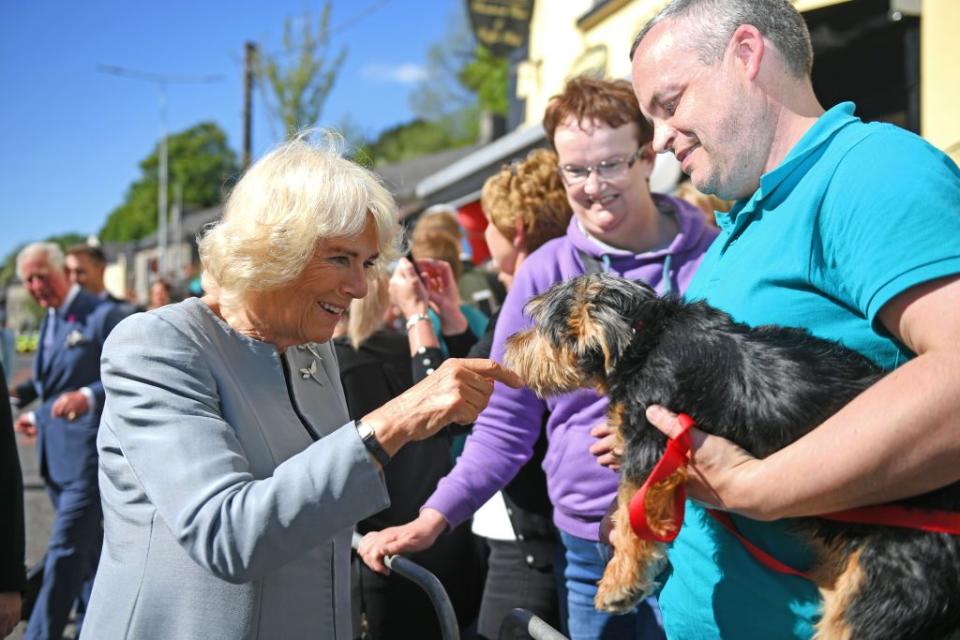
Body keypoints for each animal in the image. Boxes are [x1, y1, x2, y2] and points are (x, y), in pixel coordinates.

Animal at [502, 274, 960, 640]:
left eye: (541, 327)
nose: (508, 344)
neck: (643, 339)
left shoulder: (651, 443)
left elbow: (634, 518)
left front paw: (619, 581)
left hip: (884, 592)